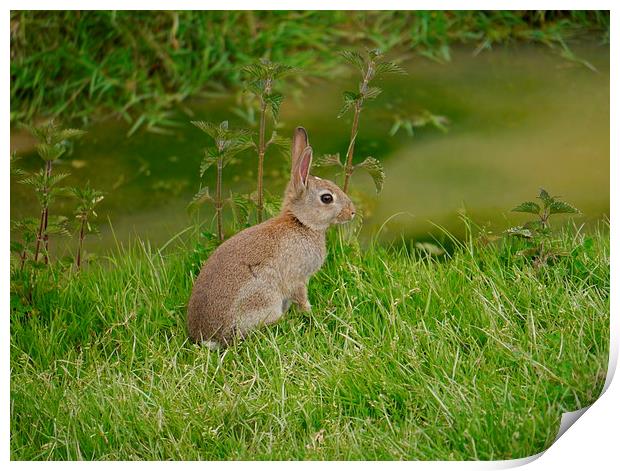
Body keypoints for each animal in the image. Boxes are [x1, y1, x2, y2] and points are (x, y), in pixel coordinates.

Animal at [186, 127, 356, 348]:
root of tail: (208, 338)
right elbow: (301, 297)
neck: (301, 222)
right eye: (327, 198)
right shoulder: (298, 278)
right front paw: (310, 313)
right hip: (263, 297)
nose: (352, 212)